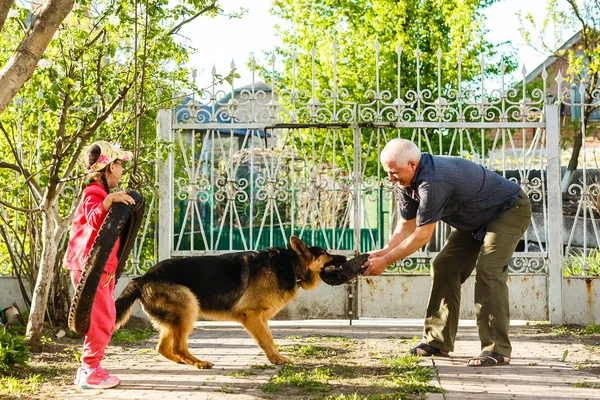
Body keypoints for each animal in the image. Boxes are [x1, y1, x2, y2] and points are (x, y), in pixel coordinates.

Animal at [115, 236, 346, 370]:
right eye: (326, 253)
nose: (344, 257)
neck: (290, 264)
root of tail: (143, 277)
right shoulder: (251, 314)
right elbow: (266, 340)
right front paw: (277, 359)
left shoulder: (259, 317)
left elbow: (269, 339)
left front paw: (277, 357)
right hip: (188, 306)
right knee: (177, 346)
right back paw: (198, 362)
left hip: (177, 316)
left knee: (162, 347)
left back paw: (185, 361)